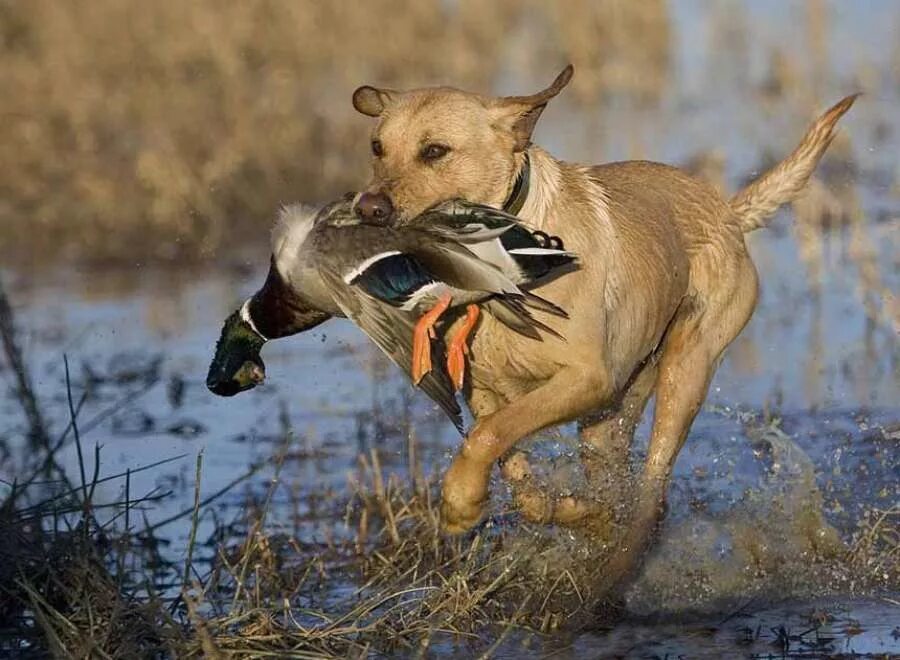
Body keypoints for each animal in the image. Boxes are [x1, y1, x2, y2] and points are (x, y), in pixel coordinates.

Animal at [348, 67, 856, 592]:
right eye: (377, 147)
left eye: (435, 151)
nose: (367, 208)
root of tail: (728, 212)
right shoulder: (484, 389)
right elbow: (515, 471)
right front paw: (564, 511)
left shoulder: (588, 379)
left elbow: (490, 435)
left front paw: (458, 503)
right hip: (612, 414)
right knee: (622, 484)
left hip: (685, 370)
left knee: (653, 494)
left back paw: (613, 579)